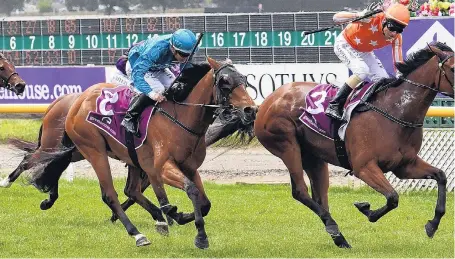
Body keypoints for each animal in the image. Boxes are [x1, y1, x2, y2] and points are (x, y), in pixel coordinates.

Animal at [25, 56, 256, 248]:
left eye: (244, 80)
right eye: (225, 82)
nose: (250, 110)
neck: (181, 118)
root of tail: (77, 102)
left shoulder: (189, 167)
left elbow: (204, 203)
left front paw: (178, 215)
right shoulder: (162, 167)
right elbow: (191, 191)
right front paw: (200, 236)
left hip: (115, 154)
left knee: (130, 190)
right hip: (93, 150)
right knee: (109, 194)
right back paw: (137, 234)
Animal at [255, 41, 454, 249]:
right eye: (453, 68)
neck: (394, 111)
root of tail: (268, 100)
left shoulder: (404, 166)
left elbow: (440, 176)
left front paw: (432, 224)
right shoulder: (364, 167)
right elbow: (393, 197)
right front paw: (366, 209)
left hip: (313, 157)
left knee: (320, 196)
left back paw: (338, 237)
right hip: (287, 146)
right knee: (300, 191)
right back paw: (334, 228)